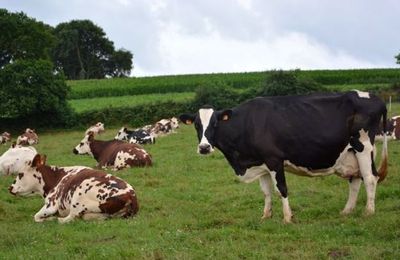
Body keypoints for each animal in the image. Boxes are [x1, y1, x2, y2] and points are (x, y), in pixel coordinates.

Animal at [8, 154, 140, 223]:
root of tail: (130, 195)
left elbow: (36, 216)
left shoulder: (51, 204)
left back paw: (55, 219)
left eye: (20, 174)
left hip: (78, 197)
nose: (10, 187)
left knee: (67, 219)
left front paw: (49, 218)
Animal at [180, 90, 388, 222]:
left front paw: (288, 218)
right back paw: (347, 211)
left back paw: (368, 212)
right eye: (196, 125)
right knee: (355, 180)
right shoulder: (260, 163)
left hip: (364, 147)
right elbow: (266, 192)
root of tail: (376, 98)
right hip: (351, 154)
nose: (204, 147)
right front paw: (266, 216)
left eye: (215, 124)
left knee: (370, 178)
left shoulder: (274, 160)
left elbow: (281, 189)